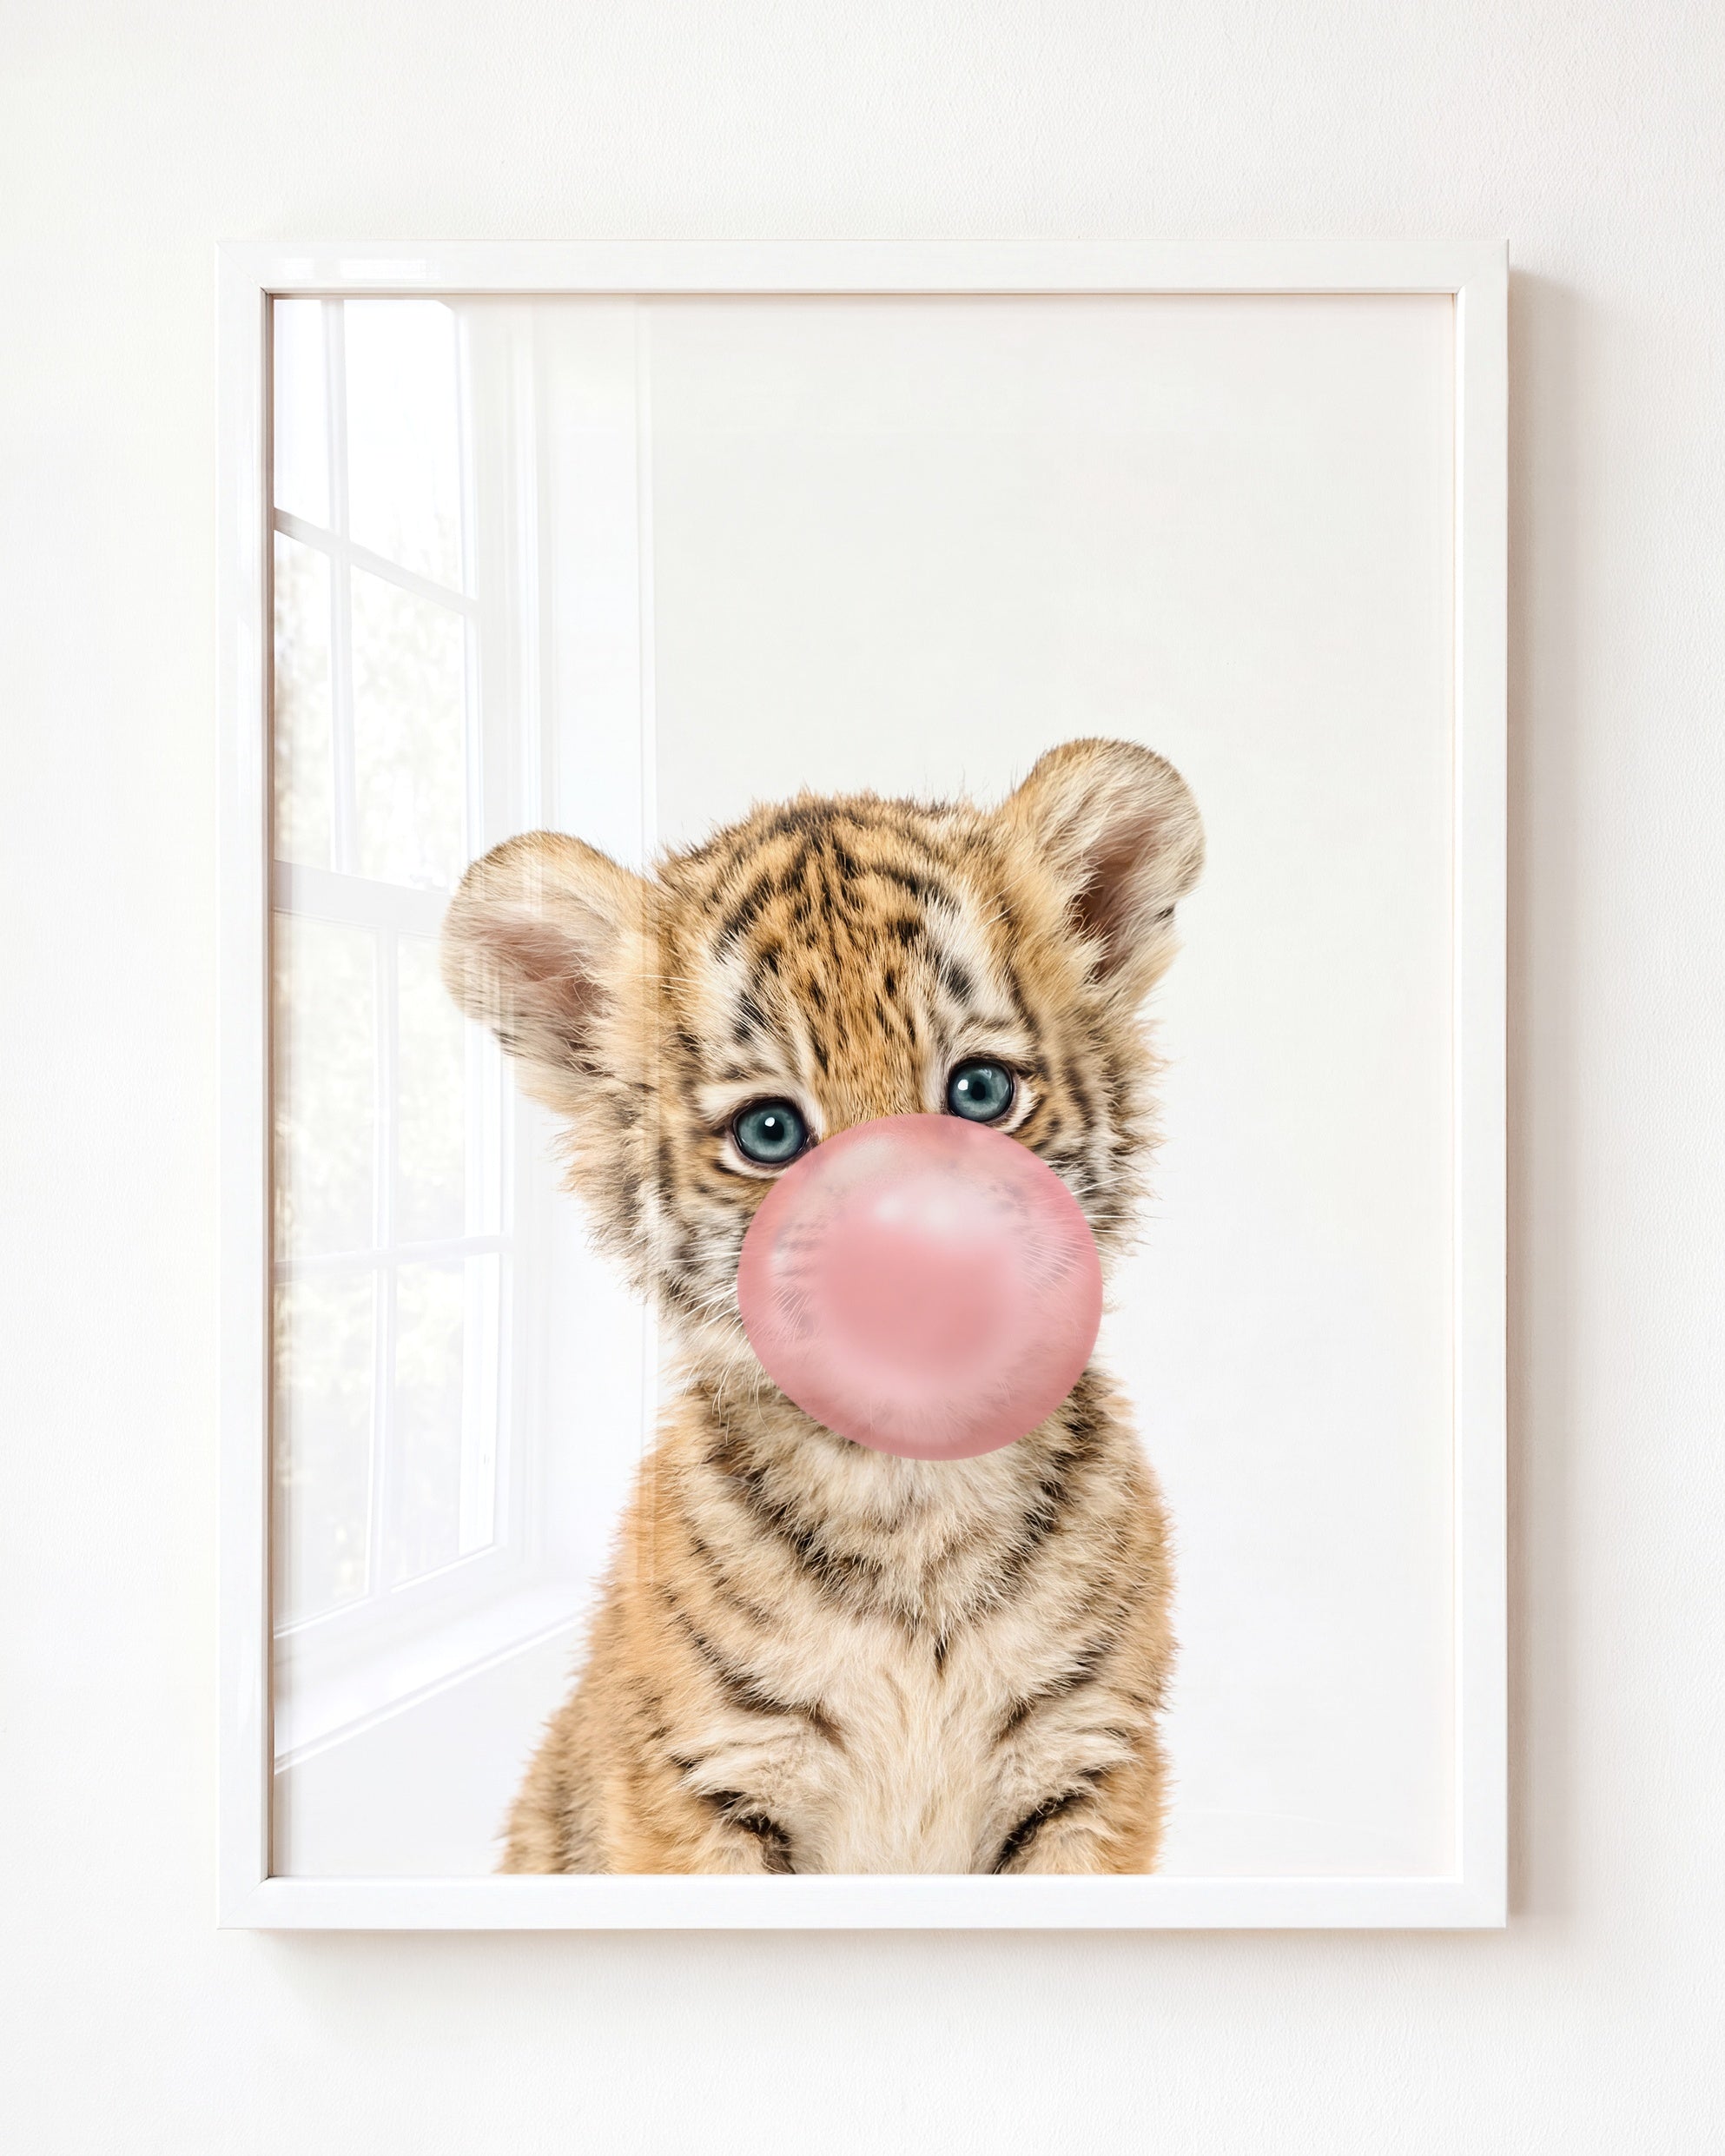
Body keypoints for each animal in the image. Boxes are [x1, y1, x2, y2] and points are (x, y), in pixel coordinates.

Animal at [441, 736, 1204, 1874]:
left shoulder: (1090, 1760)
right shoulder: (704, 1778)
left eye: (980, 1092)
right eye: (770, 1131)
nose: (915, 1267)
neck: (915, 1501)